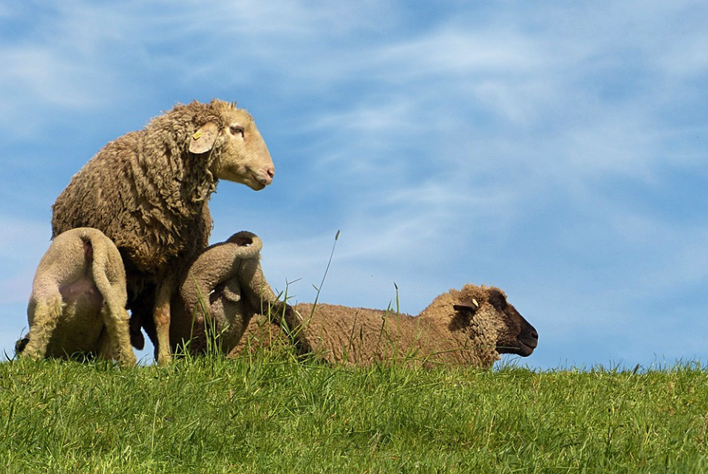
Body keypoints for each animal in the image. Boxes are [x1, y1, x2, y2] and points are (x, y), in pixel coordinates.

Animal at [15, 228, 136, 368]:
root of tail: (91, 233)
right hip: (116, 282)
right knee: (116, 319)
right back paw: (127, 364)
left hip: (53, 274)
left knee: (49, 309)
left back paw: (30, 357)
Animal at [49, 98, 276, 362]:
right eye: (237, 129)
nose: (271, 172)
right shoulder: (118, 254)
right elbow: (112, 306)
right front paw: (107, 360)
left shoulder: (172, 262)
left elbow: (162, 314)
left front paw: (166, 362)